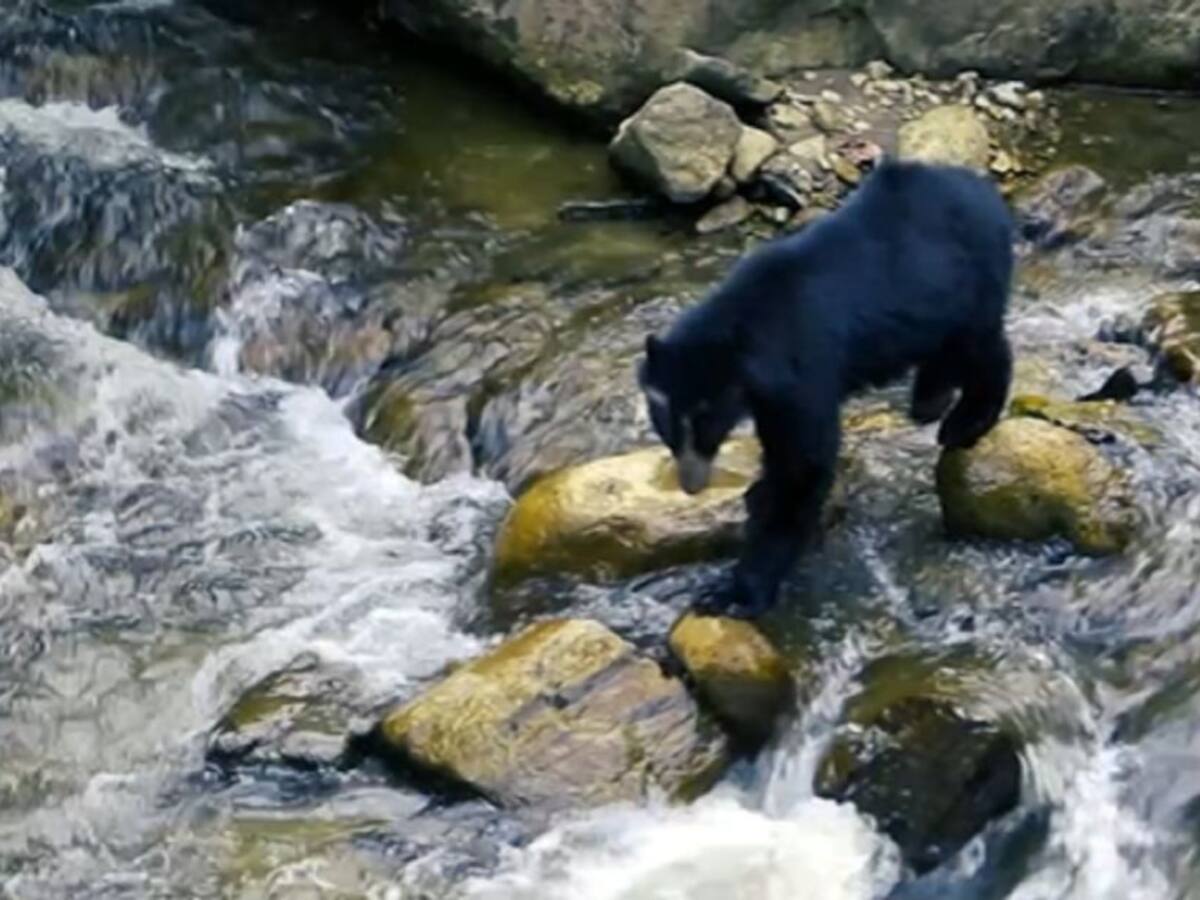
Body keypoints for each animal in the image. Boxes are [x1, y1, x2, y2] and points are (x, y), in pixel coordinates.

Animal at [638, 158, 1014, 618]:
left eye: (706, 417)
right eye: (665, 420)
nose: (691, 484)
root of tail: (985, 191)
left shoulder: (802, 371)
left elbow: (803, 465)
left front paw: (735, 591)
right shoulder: (768, 396)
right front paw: (756, 498)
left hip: (969, 284)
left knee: (983, 350)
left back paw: (965, 421)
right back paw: (929, 399)